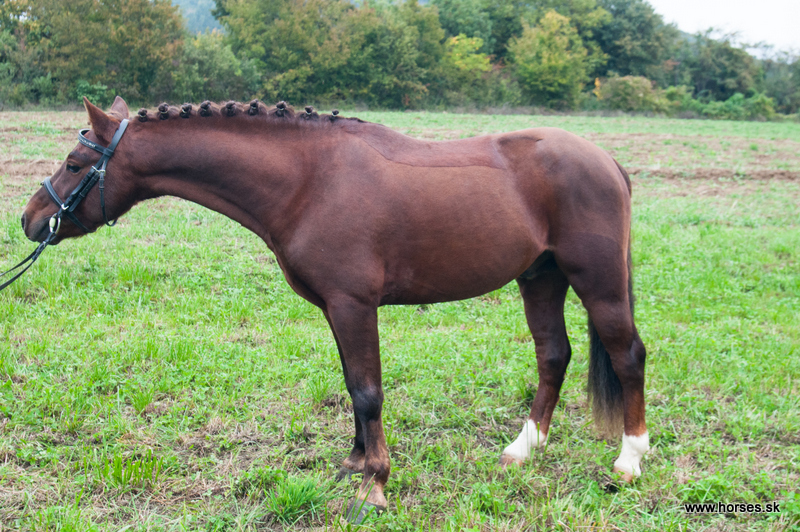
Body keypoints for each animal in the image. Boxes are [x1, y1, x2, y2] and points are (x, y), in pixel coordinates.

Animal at [19, 96, 649, 522]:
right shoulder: (334, 308)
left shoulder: (354, 305)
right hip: (540, 277)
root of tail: (608, 161)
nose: (30, 219)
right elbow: (351, 386)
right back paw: (524, 448)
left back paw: (630, 460)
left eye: (74, 163)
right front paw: (353, 464)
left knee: (628, 356)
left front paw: (374, 486)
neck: (309, 180)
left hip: (597, 283)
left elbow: (368, 392)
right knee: (553, 355)